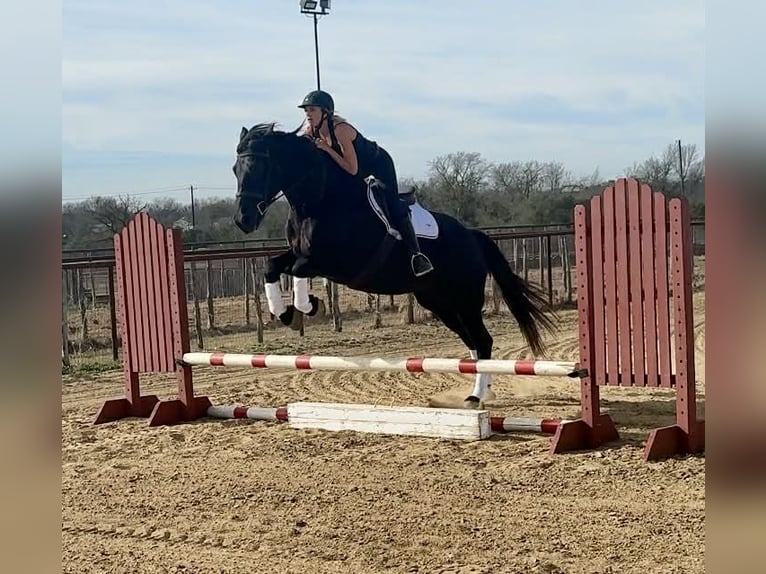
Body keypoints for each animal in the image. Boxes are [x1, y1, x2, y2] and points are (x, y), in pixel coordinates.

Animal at [232, 123, 557, 408]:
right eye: (236, 169)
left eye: (259, 167)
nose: (243, 220)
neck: (318, 200)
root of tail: (472, 237)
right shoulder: (301, 255)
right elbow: (271, 267)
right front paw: (287, 313)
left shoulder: (334, 263)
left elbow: (299, 271)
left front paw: (309, 307)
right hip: (439, 302)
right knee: (474, 343)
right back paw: (483, 391)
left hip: (464, 298)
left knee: (483, 340)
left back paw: (476, 397)